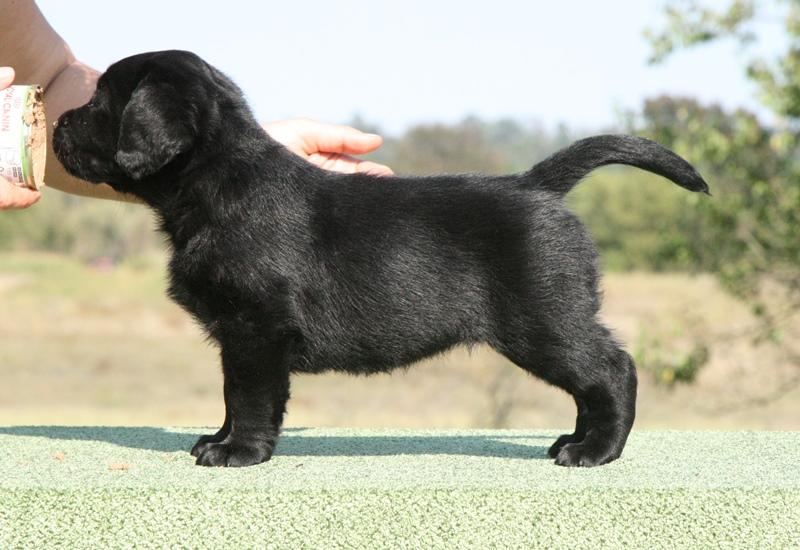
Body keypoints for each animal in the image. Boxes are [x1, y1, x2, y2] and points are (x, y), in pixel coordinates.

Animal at [53, 50, 709, 468]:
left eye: (99, 102)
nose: (55, 119)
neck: (218, 182)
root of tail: (536, 184)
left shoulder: (255, 329)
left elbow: (248, 397)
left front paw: (237, 452)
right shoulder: (242, 337)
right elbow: (235, 396)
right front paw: (218, 438)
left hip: (545, 321)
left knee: (612, 370)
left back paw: (593, 451)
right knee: (591, 383)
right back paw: (570, 441)